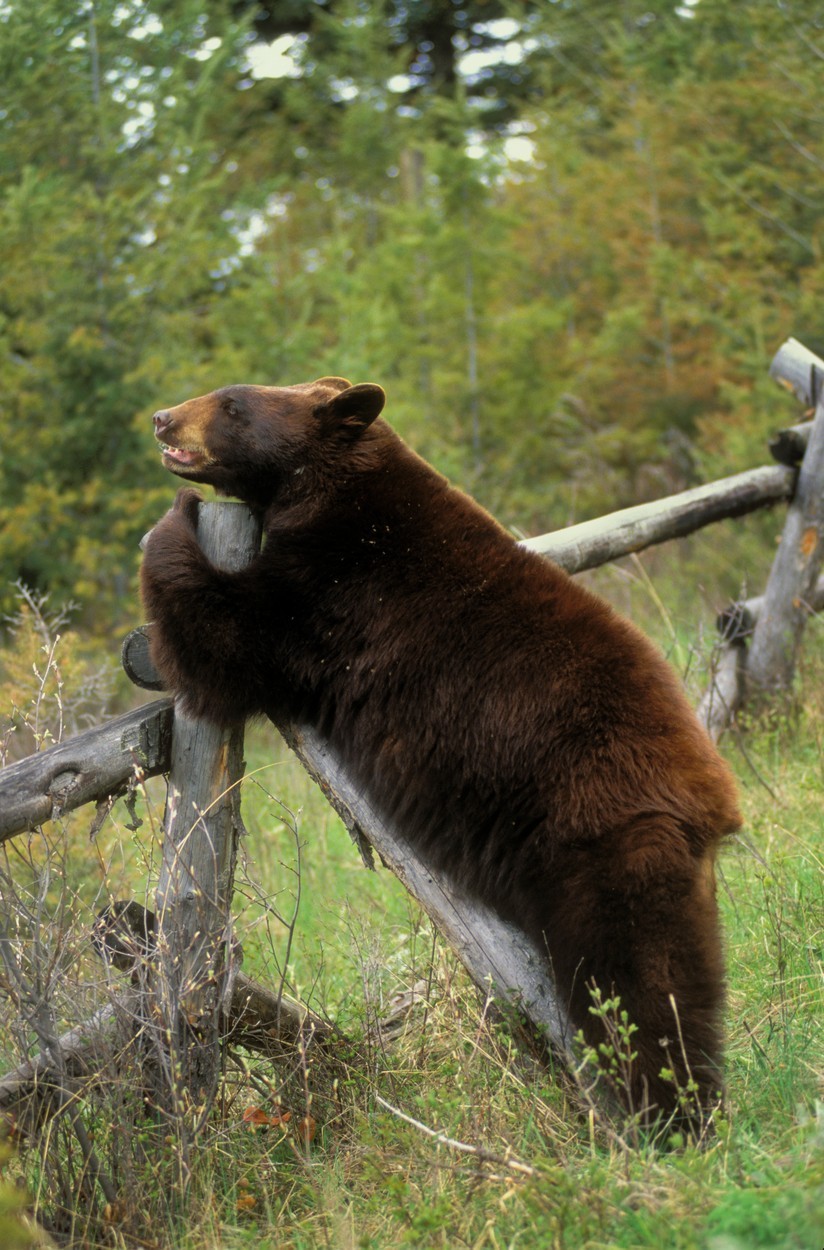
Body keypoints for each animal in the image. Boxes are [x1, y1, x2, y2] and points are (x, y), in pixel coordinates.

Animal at [140, 375, 740, 1130]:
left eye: (232, 403)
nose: (163, 418)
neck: (336, 495)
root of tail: (715, 802)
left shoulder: (329, 595)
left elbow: (224, 639)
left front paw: (177, 517)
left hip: (607, 847)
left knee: (641, 988)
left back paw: (668, 1114)